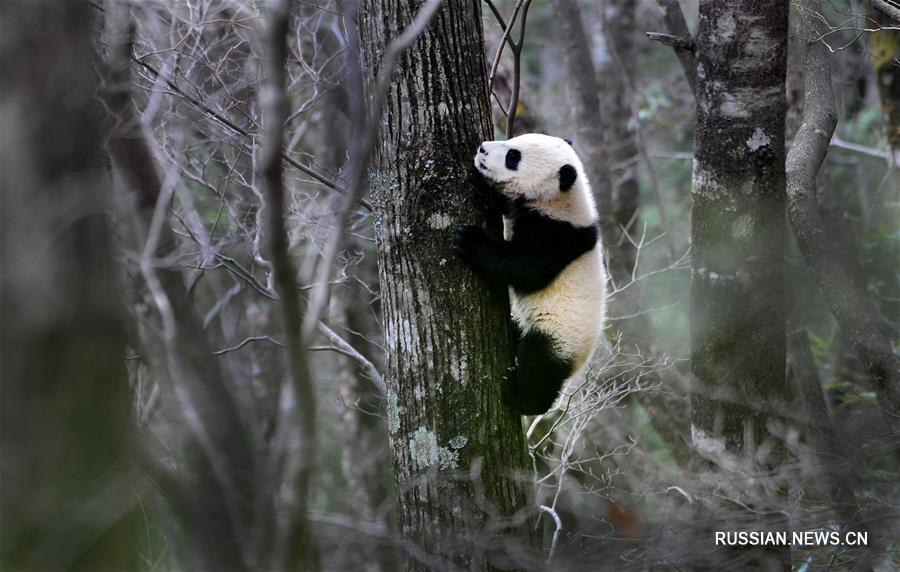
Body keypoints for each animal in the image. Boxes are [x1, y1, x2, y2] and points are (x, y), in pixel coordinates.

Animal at [454, 135, 608, 416]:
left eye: (513, 157)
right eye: (511, 140)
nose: (482, 148)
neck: (561, 198)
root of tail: (581, 362)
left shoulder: (558, 236)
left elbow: (526, 268)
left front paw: (470, 240)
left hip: (559, 336)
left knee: (539, 367)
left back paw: (520, 396)